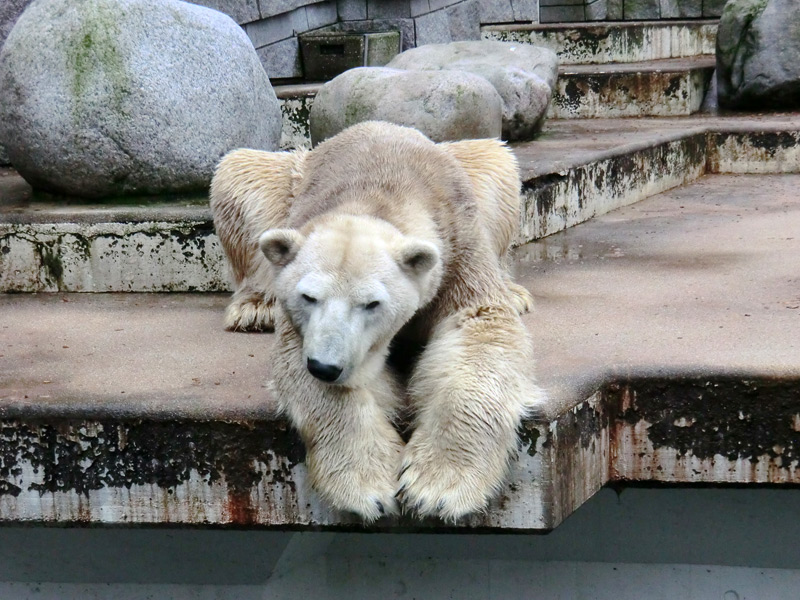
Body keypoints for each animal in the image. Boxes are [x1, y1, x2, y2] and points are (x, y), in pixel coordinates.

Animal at [209, 122, 548, 520]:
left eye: (372, 303)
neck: (378, 194)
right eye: (309, 297)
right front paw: (370, 486)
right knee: (239, 172)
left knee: (497, 164)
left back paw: (515, 292)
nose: (325, 366)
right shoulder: (301, 326)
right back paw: (255, 307)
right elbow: (308, 373)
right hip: (285, 181)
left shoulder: (458, 245)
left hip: (478, 177)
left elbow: (481, 325)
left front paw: (436, 488)